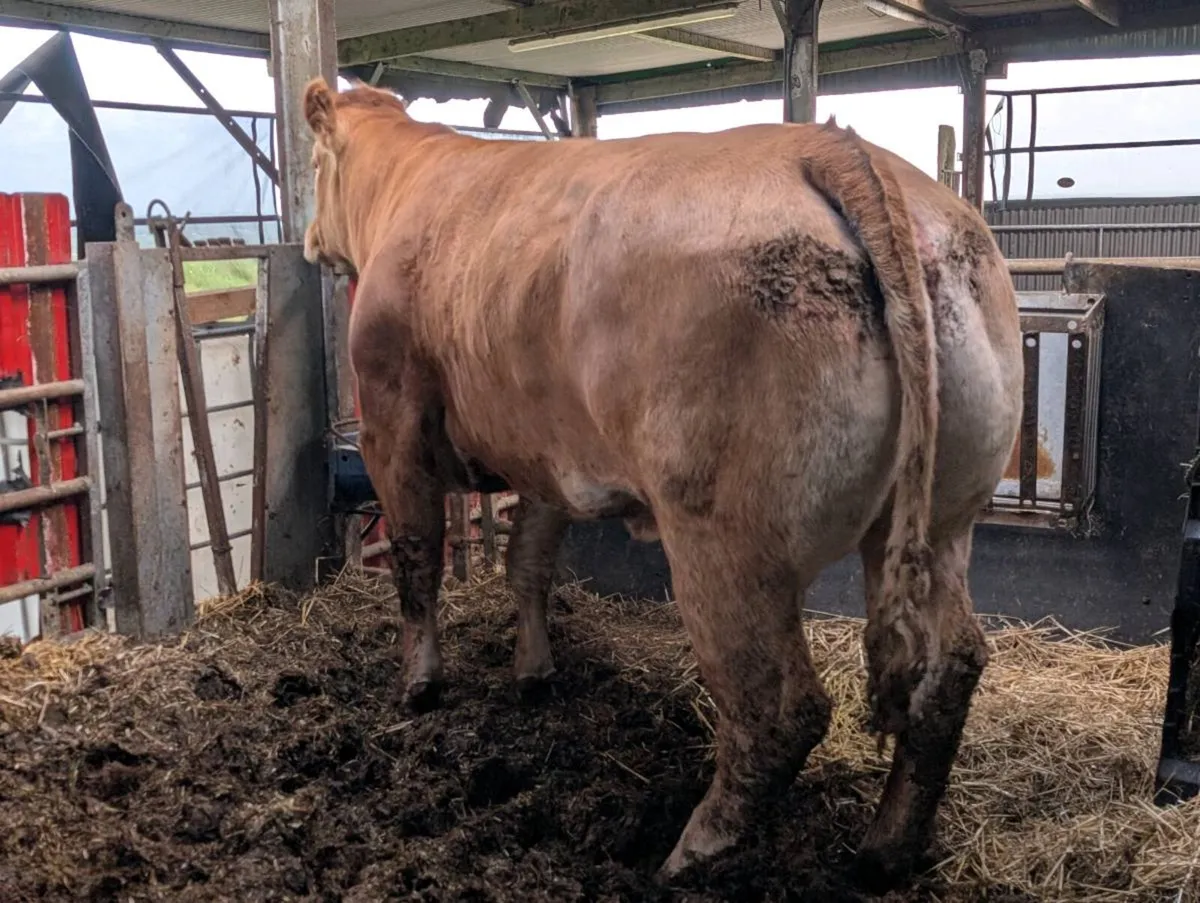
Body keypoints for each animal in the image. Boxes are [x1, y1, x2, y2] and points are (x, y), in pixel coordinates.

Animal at [300, 78, 1023, 891]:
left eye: (311, 162)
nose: (309, 238)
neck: (411, 181)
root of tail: (832, 148)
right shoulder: (544, 452)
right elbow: (528, 564)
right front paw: (533, 672)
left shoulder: (392, 420)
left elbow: (417, 559)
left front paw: (419, 685)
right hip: (942, 519)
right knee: (949, 666)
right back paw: (885, 851)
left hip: (723, 538)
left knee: (778, 708)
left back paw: (691, 850)